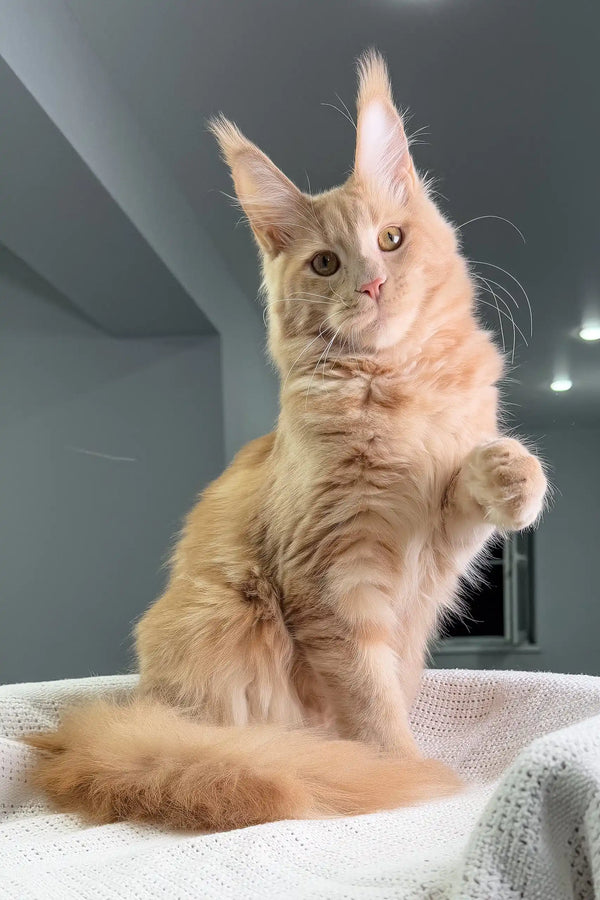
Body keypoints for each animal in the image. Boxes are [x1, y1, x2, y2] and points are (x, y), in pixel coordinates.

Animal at [27, 52, 548, 832]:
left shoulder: (435, 545)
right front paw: (406, 771)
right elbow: (371, 702)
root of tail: (132, 715)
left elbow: (473, 489)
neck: (397, 385)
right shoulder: (332, 584)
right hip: (222, 624)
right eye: (326, 264)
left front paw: (512, 476)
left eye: (390, 240)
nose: (371, 284)